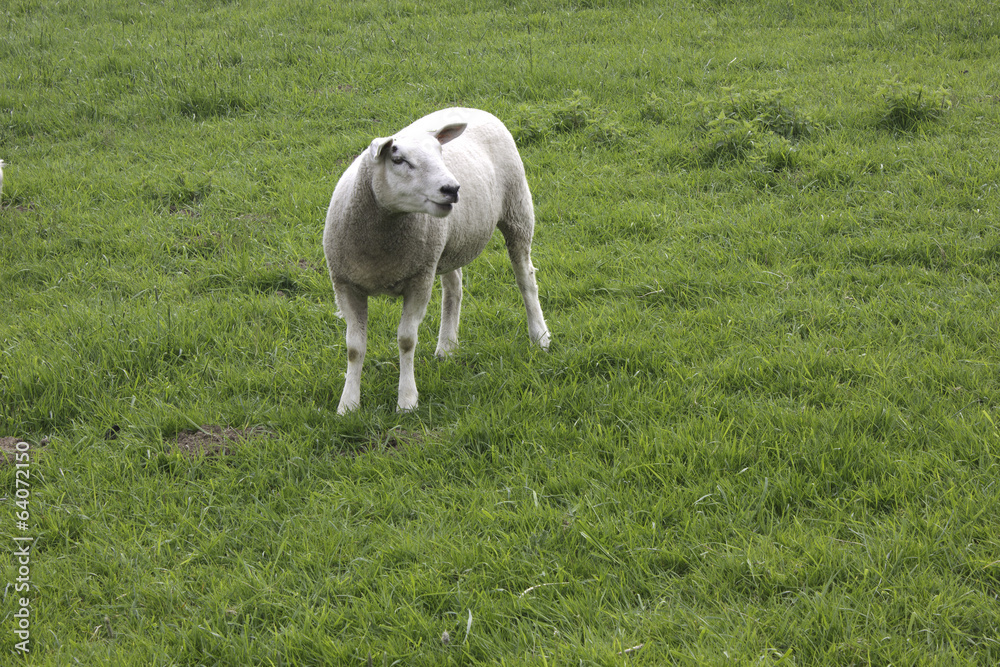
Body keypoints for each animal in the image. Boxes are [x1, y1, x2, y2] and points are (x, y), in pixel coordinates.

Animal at [323, 107, 551, 414]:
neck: (380, 247)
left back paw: (539, 335)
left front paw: (407, 401)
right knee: (454, 288)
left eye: (440, 153)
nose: (452, 189)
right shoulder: (345, 284)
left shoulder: (419, 279)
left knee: (526, 278)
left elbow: (406, 340)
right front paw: (348, 405)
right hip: (448, 244)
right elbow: (354, 348)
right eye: (398, 160)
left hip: (518, 211)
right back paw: (447, 346)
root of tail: (472, 107)